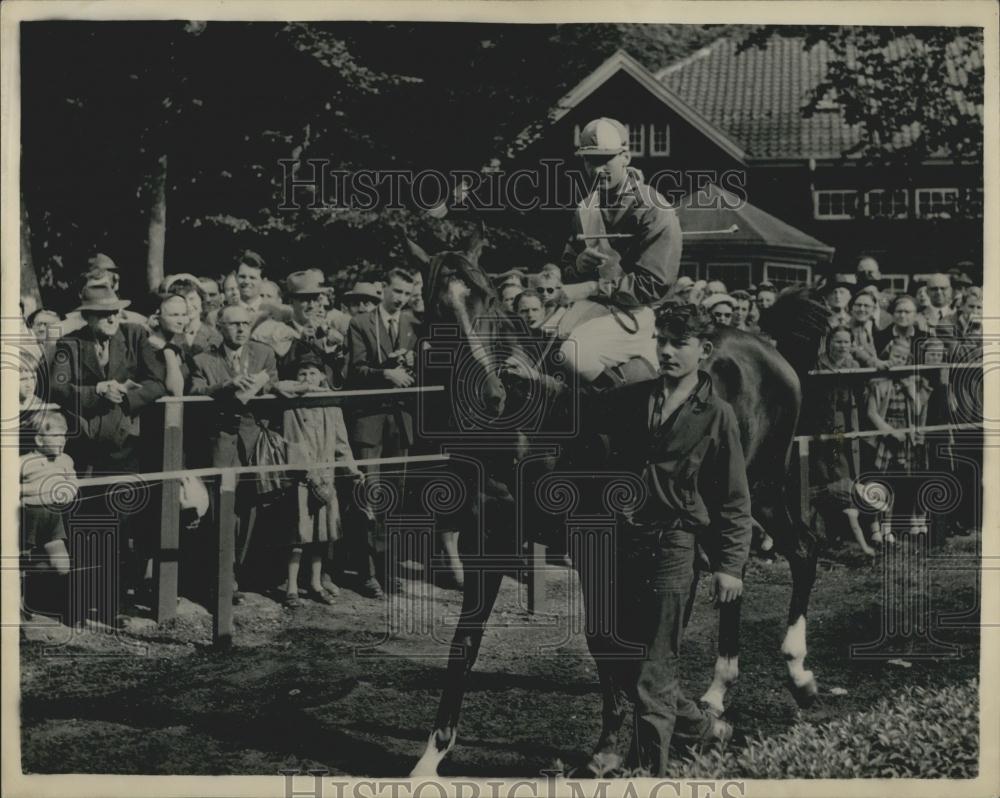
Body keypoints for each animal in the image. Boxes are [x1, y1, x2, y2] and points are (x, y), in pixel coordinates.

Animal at [402, 230, 832, 776]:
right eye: (436, 307)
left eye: (486, 298)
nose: (491, 393)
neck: (528, 421)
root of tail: (764, 345)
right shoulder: (490, 538)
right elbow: (466, 640)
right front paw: (430, 758)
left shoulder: (592, 538)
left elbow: (606, 640)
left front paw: (614, 747)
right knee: (725, 572)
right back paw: (718, 691)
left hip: (761, 486)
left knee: (800, 551)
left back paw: (796, 673)